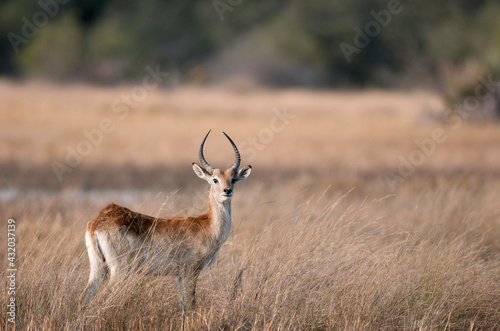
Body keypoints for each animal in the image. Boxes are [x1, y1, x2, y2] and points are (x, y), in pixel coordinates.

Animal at [85, 130, 254, 314]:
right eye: (215, 179)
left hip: (98, 268)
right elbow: (191, 302)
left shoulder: (179, 276)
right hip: (120, 270)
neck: (207, 225)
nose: (227, 191)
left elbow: (183, 306)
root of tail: (98, 221)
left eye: (233, 179)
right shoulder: (190, 272)